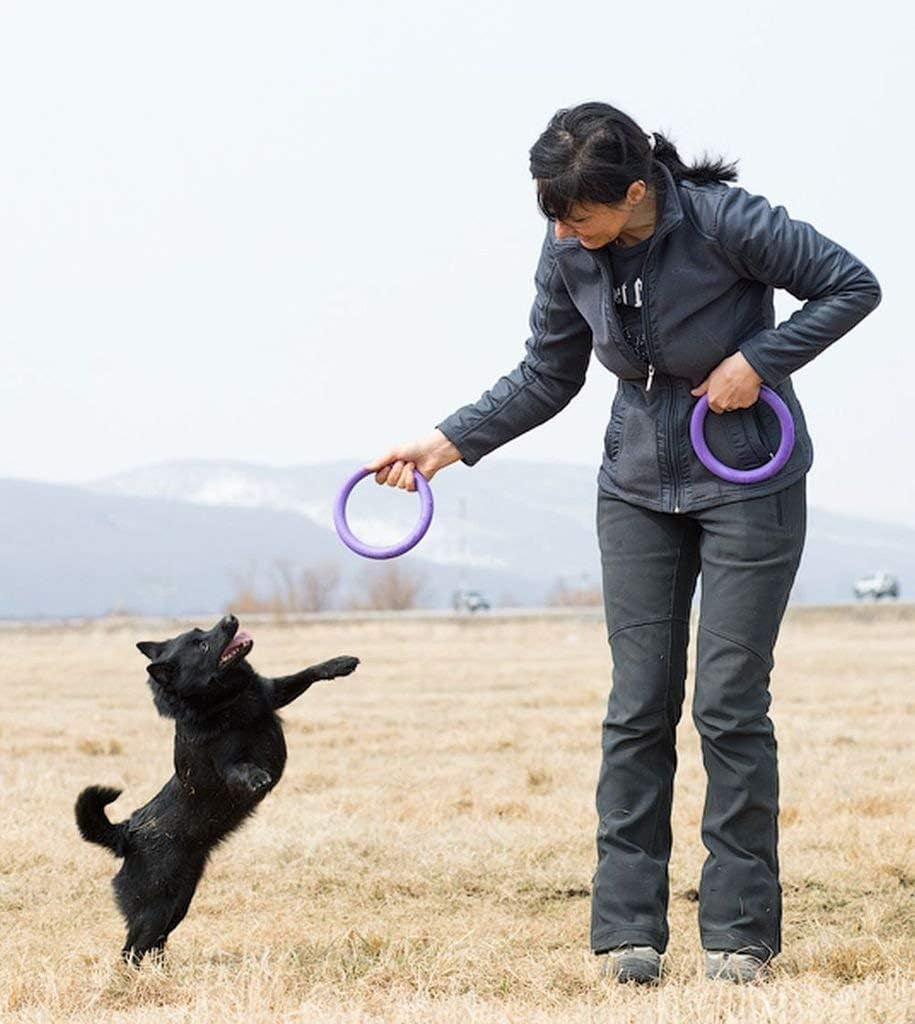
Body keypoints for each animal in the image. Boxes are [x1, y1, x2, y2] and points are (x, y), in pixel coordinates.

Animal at [74, 610, 358, 962]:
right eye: (203, 645)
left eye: (201, 631)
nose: (229, 618)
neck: (226, 701)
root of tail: (127, 833)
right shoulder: (227, 766)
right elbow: (241, 770)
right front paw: (259, 779)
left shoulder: (272, 694)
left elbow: (303, 674)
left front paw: (339, 664)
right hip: (155, 907)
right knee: (132, 949)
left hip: (178, 902)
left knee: (154, 944)